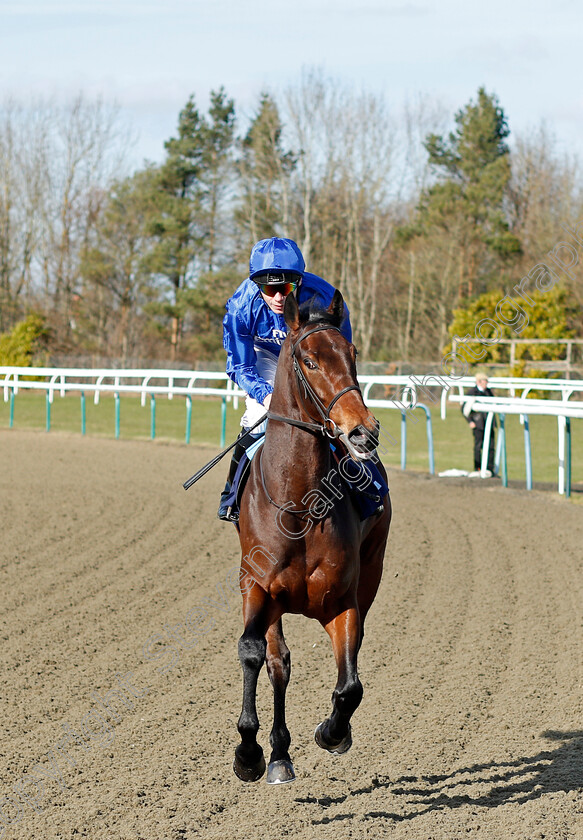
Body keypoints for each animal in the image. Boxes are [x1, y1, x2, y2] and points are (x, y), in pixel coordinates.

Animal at [234, 290, 392, 788]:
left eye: (352, 354)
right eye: (309, 360)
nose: (362, 430)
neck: (300, 504)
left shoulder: (342, 599)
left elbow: (350, 685)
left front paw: (332, 732)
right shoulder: (256, 586)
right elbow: (255, 654)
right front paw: (249, 752)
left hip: (373, 571)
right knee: (278, 662)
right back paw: (278, 755)